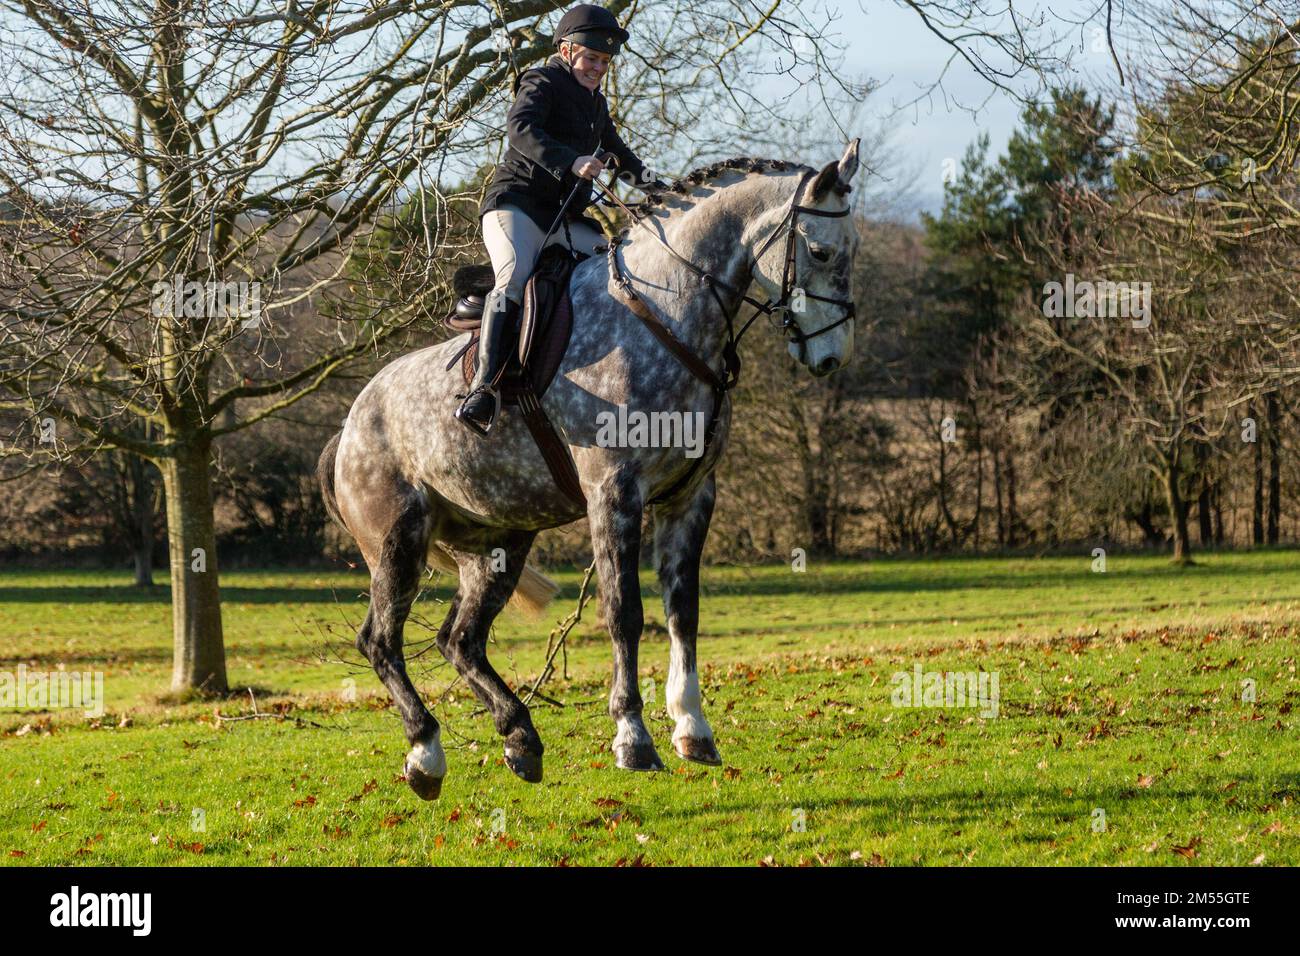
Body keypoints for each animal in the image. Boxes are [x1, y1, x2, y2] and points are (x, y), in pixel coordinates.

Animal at [318, 140, 857, 801]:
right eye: (822, 250)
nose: (830, 357)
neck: (665, 313)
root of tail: (349, 426)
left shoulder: (689, 498)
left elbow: (683, 611)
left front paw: (692, 728)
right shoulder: (614, 493)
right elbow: (624, 612)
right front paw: (633, 737)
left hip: (497, 543)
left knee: (460, 640)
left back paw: (520, 738)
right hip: (398, 542)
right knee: (381, 642)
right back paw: (426, 752)